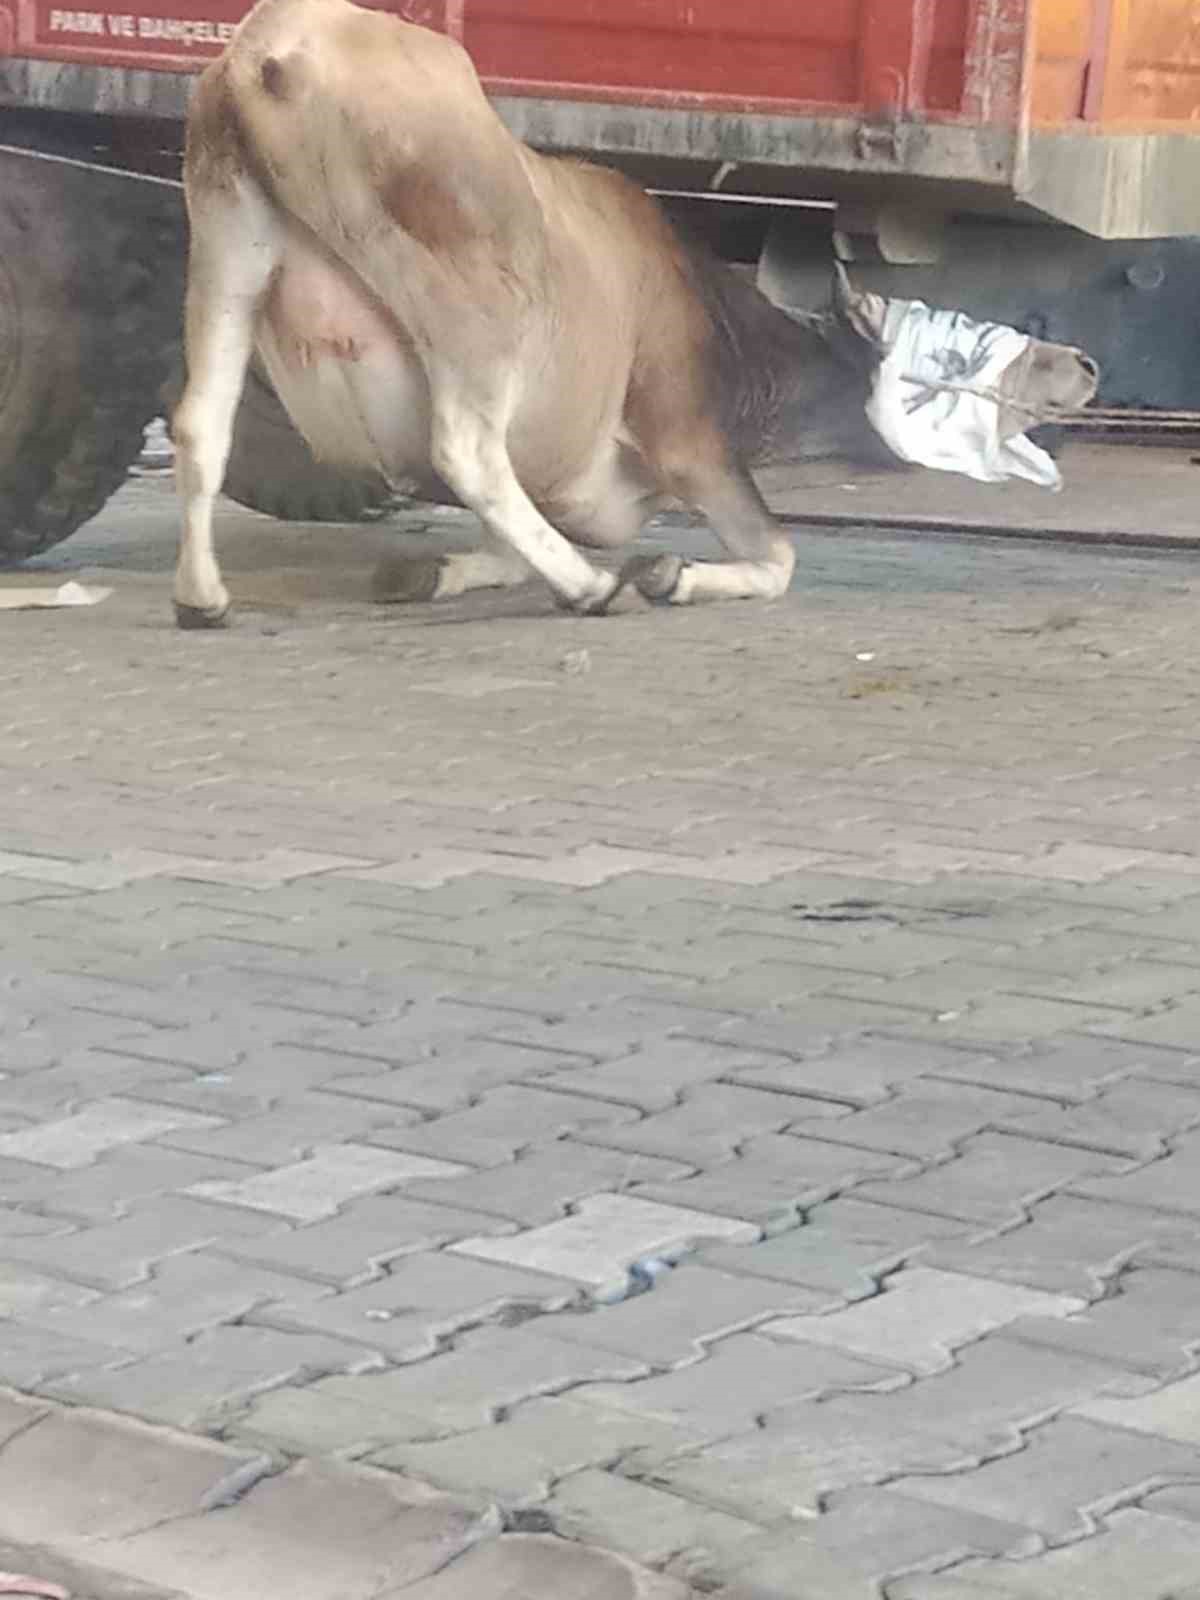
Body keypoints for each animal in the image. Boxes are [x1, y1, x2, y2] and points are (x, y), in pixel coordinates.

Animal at [173, 0, 1107, 624]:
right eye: (963, 343)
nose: (1089, 363)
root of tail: (273, 50)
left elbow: (501, 550)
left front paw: (433, 571)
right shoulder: (689, 440)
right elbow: (780, 552)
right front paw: (667, 575)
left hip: (228, 244)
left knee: (198, 421)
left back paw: (202, 595)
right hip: (471, 299)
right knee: (466, 448)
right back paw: (593, 589)